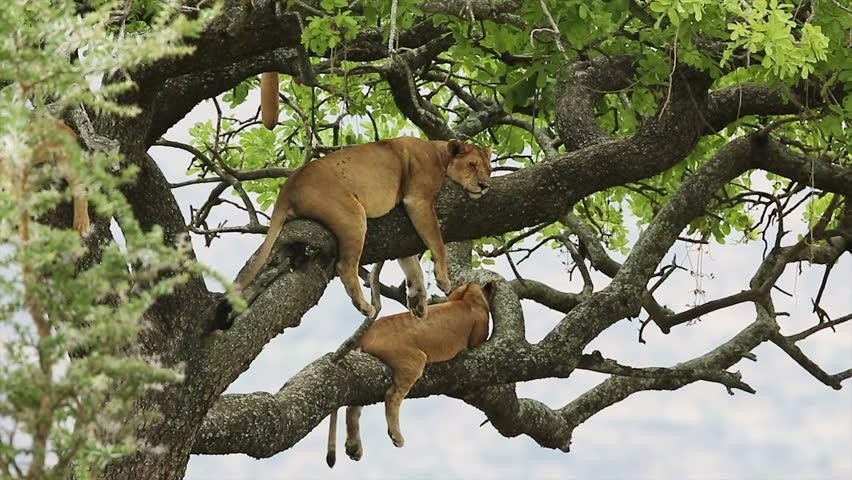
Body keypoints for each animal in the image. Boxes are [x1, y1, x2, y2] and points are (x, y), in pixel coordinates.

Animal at [223, 135, 492, 322]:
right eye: (472, 165)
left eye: (489, 169)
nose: (485, 185)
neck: (438, 153)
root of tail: (287, 187)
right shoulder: (418, 200)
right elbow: (438, 242)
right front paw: (444, 279)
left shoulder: (404, 227)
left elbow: (411, 264)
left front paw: (417, 300)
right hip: (353, 215)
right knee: (345, 266)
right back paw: (364, 306)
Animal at [326, 280, 500, 466]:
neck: (465, 297)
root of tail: (366, 333)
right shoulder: (478, 335)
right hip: (415, 360)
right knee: (391, 396)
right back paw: (396, 436)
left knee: (353, 409)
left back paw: (354, 448)